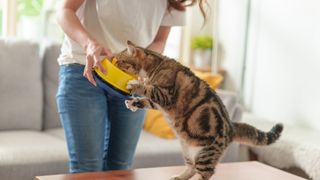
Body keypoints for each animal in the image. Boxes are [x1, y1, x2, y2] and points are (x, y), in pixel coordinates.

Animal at [113, 40, 282, 180]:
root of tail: (232, 126)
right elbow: (148, 101)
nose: (114, 64)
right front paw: (134, 103)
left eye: (120, 61)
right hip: (187, 150)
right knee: (192, 167)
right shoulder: (159, 102)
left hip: (206, 153)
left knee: (206, 173)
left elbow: (149, 90)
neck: (156, 66)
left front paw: (135, 85)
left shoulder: (166, 95)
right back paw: (178, 177)